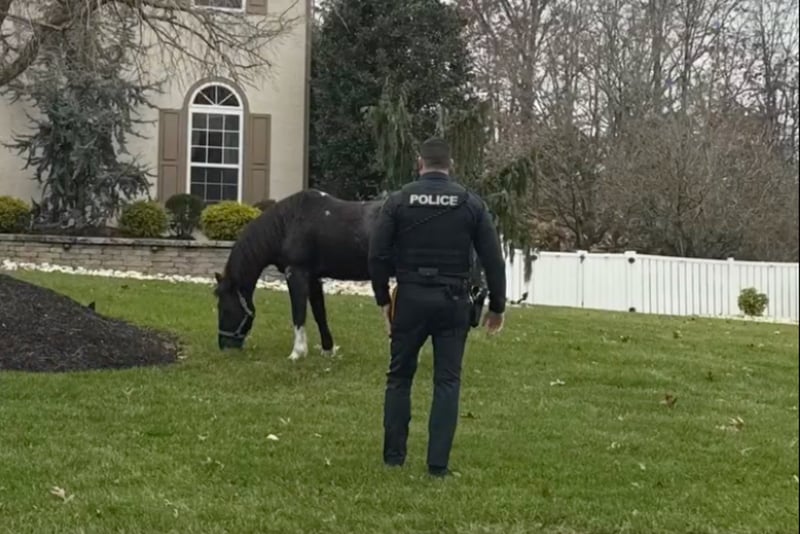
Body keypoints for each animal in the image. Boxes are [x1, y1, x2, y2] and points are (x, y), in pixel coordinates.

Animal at [212, 188, 485, 360]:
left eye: (224, 308)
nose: (224, 346)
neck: (289, 223)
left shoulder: (296, 274)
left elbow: (299, 313)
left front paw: (297, 353)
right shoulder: (313, 278)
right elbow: (319, 314)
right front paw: (327, 350)